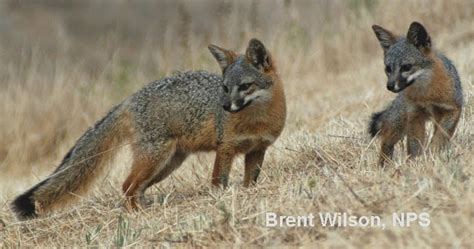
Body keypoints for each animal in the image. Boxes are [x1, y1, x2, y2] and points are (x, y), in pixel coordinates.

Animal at [10, 38, 286, 219]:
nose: (226, 106)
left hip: (167, 164)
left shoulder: (258, 149)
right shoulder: (225, 148)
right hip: (155, 159)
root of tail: (129, 98)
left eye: (246, 86)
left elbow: (251, 181)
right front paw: (219, 201)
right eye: (226, 88)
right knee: (127, 186)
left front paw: (248, 194)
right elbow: (219, 181)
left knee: (136, 188)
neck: (257, 120)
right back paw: (138, 213)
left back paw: (145, 208)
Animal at [368, 21, 462, 165]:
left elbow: (440, 135)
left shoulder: (452, 108)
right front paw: (415, 163)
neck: (426, 94)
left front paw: (432, 154)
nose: (389, 86)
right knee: (386, 141)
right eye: (388, 69)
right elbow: (414, 146)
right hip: (400, 123)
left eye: (406, 67)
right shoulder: (415, 114)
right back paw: (383, 165)